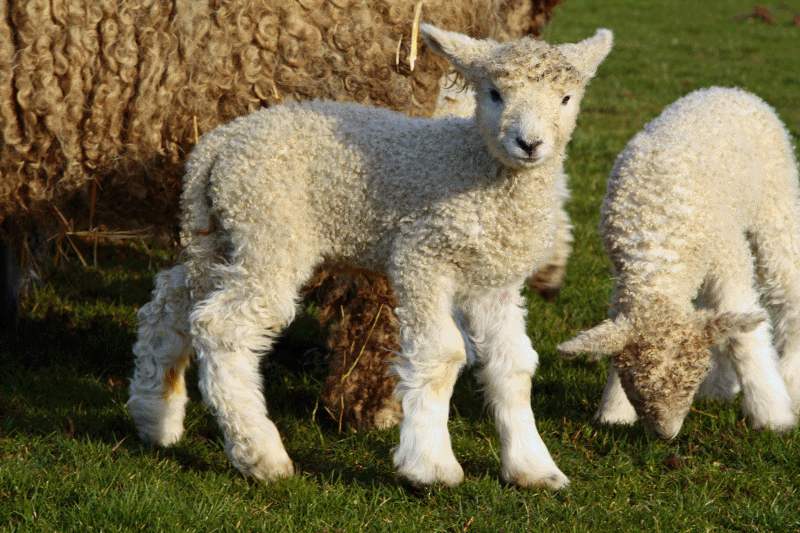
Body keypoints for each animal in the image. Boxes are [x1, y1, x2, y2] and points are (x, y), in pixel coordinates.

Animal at [128, 24, 613, 488]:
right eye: (495, 93)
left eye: (566, 98)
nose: (529, 144)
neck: (475, 164)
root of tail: (217, 145)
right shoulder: (422, 255)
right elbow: (441, 355)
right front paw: (430, 465)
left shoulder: (494, 279)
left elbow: (513, 366)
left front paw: (534, 468)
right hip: (268, 227)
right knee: (221, 326)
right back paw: (260, 455)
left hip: (221, 233)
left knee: (171, 300)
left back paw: (155, 418)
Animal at [558, 87, 800, 440]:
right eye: (636, 387)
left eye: (688, 383)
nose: (666, 435)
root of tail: (727, 90)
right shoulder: (624, 277)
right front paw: (614, 411)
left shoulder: (727, 255)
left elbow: (745, 337)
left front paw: (772, 416)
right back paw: (720, 387)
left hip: (775, 207)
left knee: (789, 293)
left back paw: (791, 384)